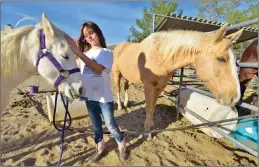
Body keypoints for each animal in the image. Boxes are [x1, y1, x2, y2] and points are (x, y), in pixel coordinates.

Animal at [112, 23, 245, 133]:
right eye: (221, 58)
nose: (235, 97)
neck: (160, 56)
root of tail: (119, 46)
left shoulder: (160, 87)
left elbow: (153, 105)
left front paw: (151, 124)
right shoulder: (148, 85)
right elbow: (149, 106)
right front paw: (147, 131)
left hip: (128, 76)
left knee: (126, 86)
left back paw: (126, 103)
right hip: (116, 74)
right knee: (117, 88)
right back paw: (119, 106)